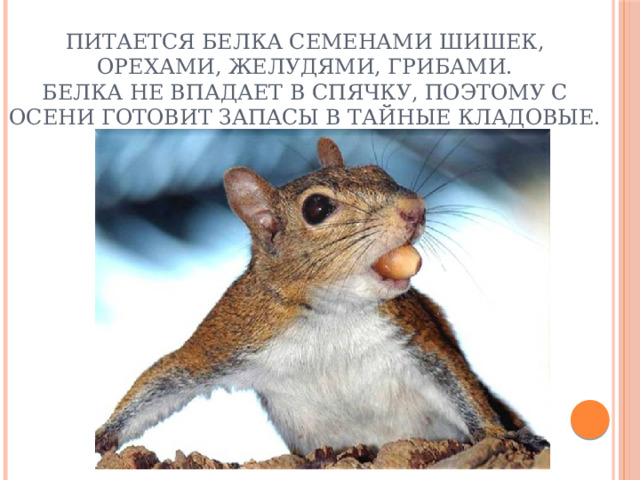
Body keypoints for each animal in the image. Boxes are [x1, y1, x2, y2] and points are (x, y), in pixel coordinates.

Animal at [95, 137, 548, 457]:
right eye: (316, 208)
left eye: (378, 171)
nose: (415, 208)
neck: (334, 314)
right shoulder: (234, 329)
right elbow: (172, 373)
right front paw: (105, 435)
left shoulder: (414, 333)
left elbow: (457, 380)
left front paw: (500, 435)